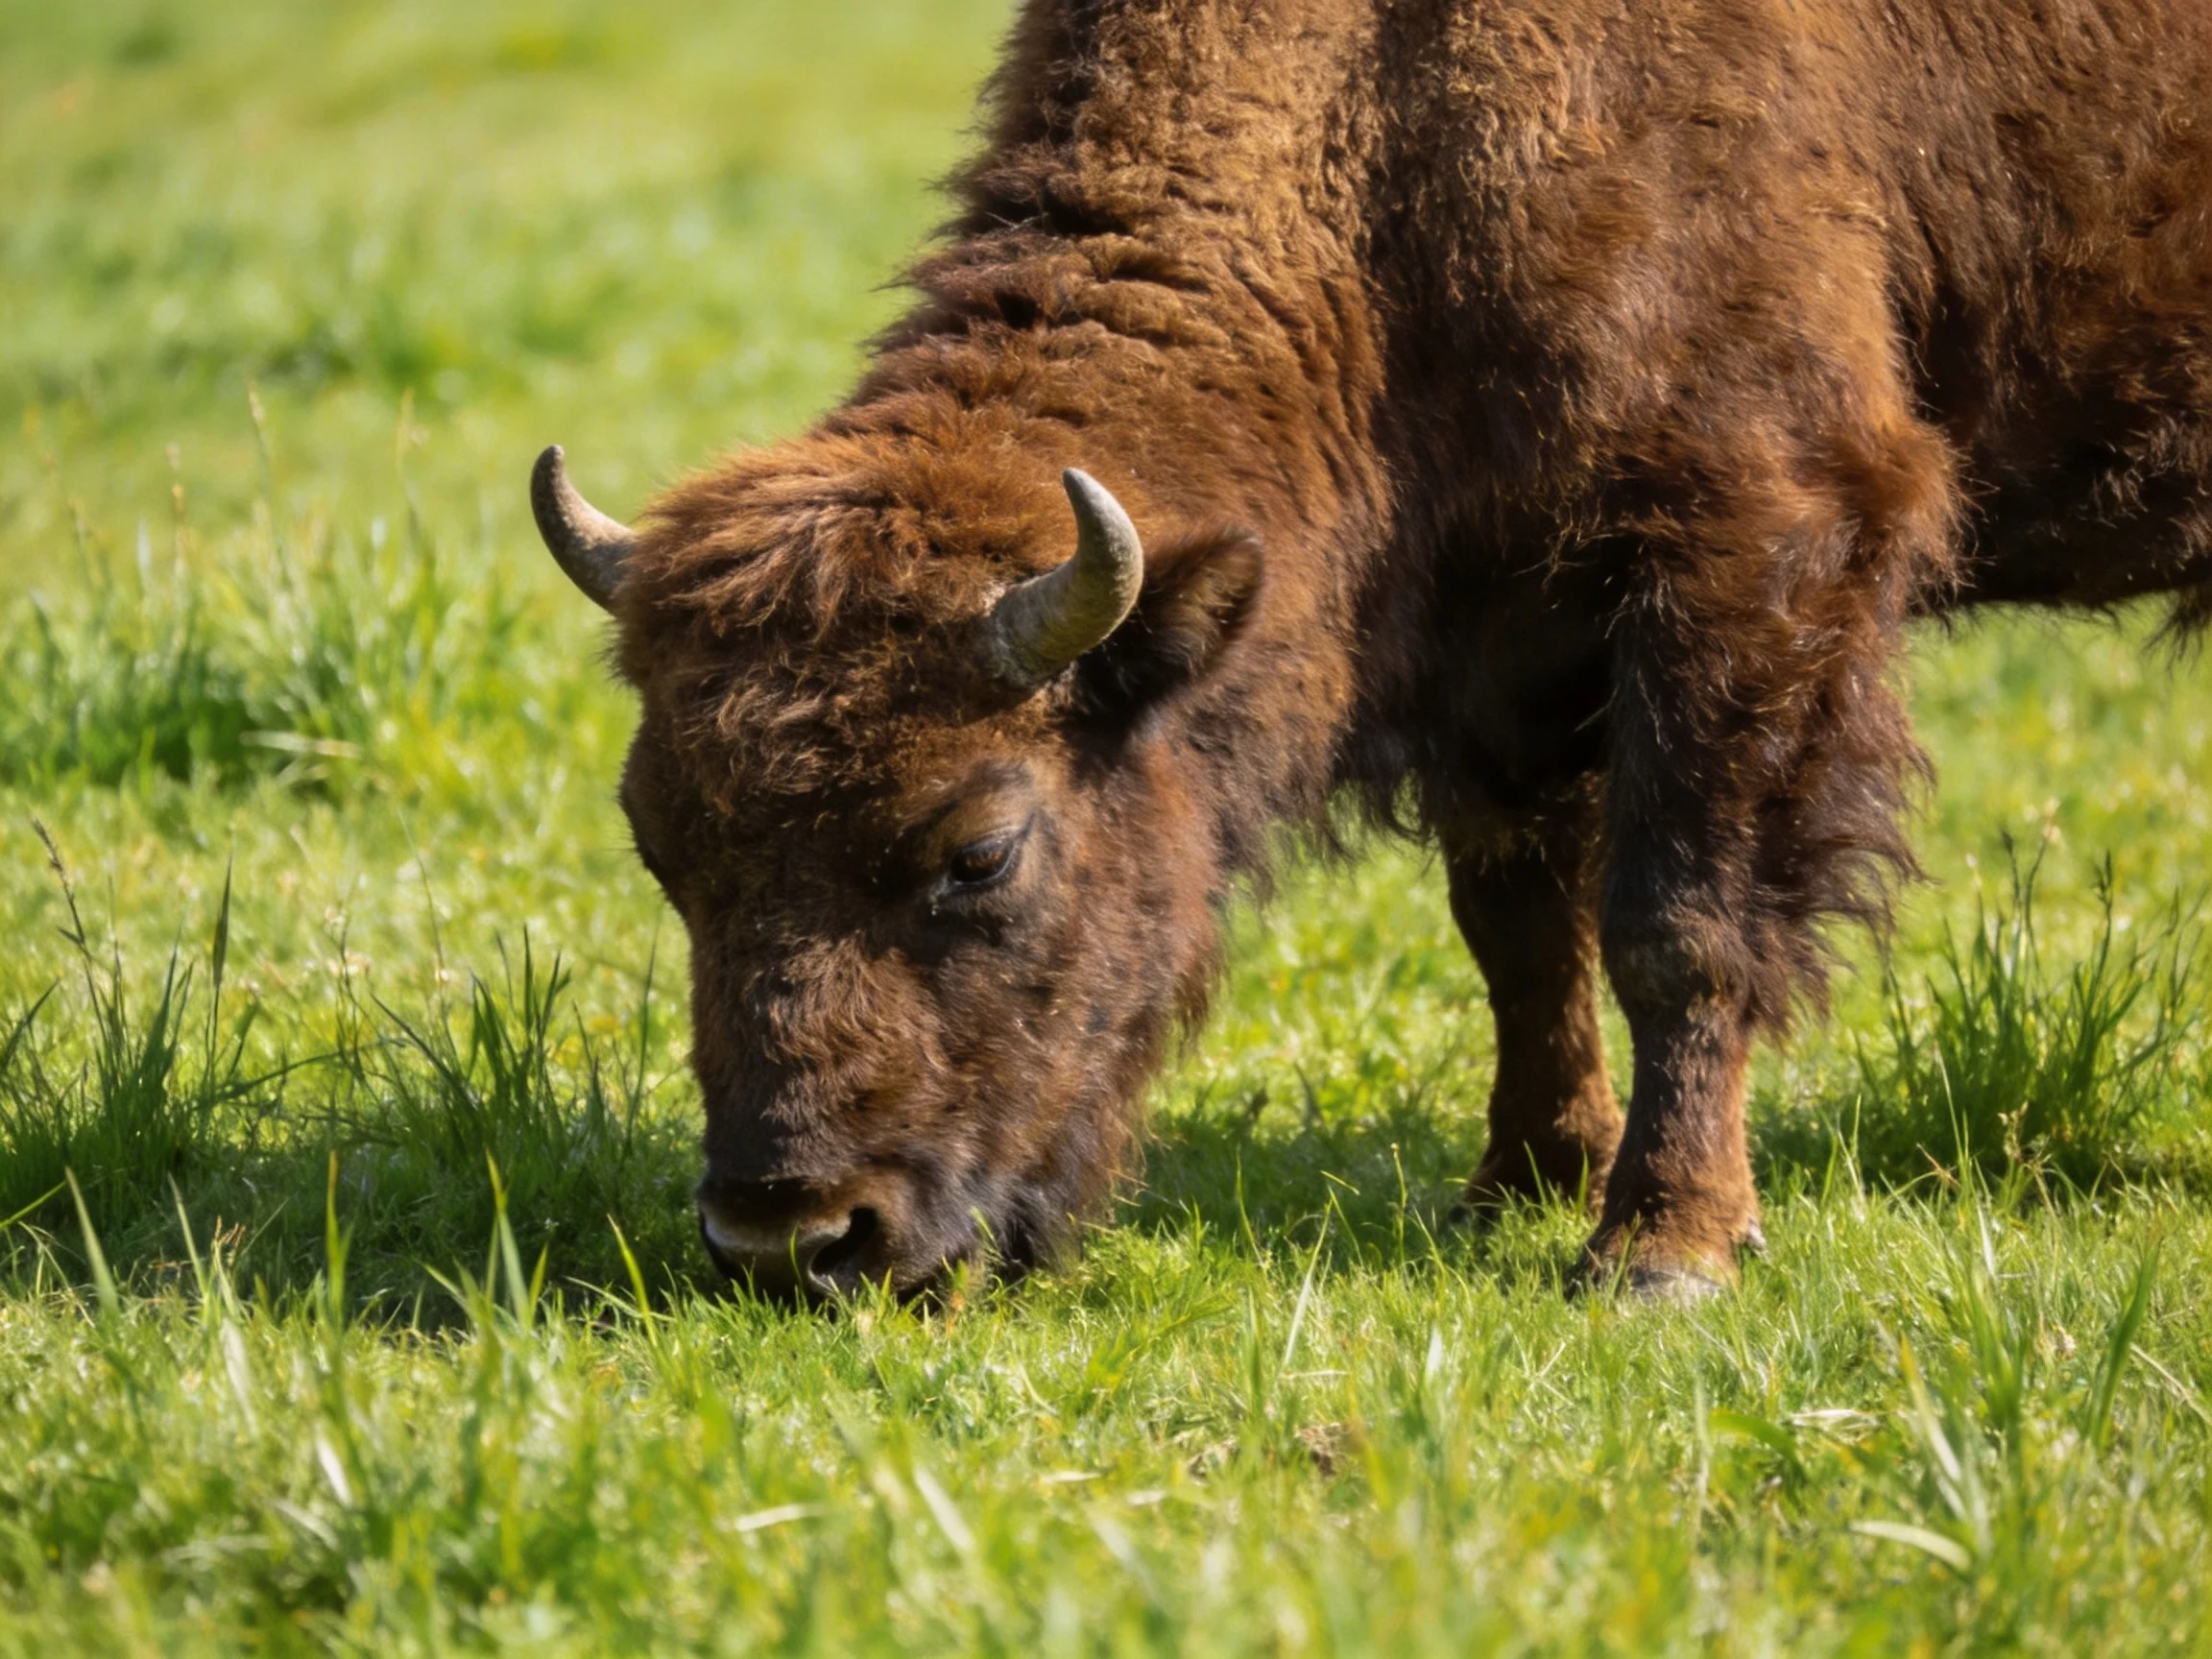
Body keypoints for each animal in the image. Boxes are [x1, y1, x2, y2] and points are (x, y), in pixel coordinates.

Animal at [532, 0, 2212, 1299]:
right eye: (661, 847)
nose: (791, 1238)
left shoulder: (1760, 548)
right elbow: (1520, 927)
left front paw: (1660, 1250)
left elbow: (1680, 922)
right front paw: (1523, 1183)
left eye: (980, 853)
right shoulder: (1497, 641)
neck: (1383, 130)